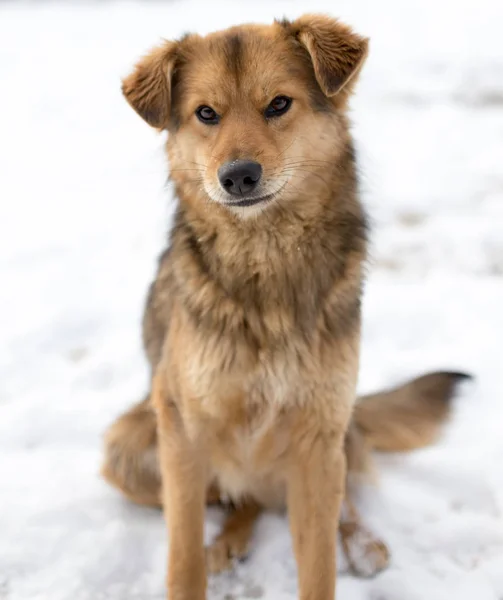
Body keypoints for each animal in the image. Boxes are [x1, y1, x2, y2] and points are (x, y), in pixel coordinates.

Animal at [100, 14, 470, 600]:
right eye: (206, 113)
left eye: (278, 104)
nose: (238, 176)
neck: (266, 261)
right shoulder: (182, 427)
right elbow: (183, 556)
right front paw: (203, 558)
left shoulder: (319, 434)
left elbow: (318, 562)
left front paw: (342, 551)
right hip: (128, 446)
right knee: (241, 496)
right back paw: (229, 540)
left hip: (339, 427)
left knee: (343, 499)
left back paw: (362, 542)